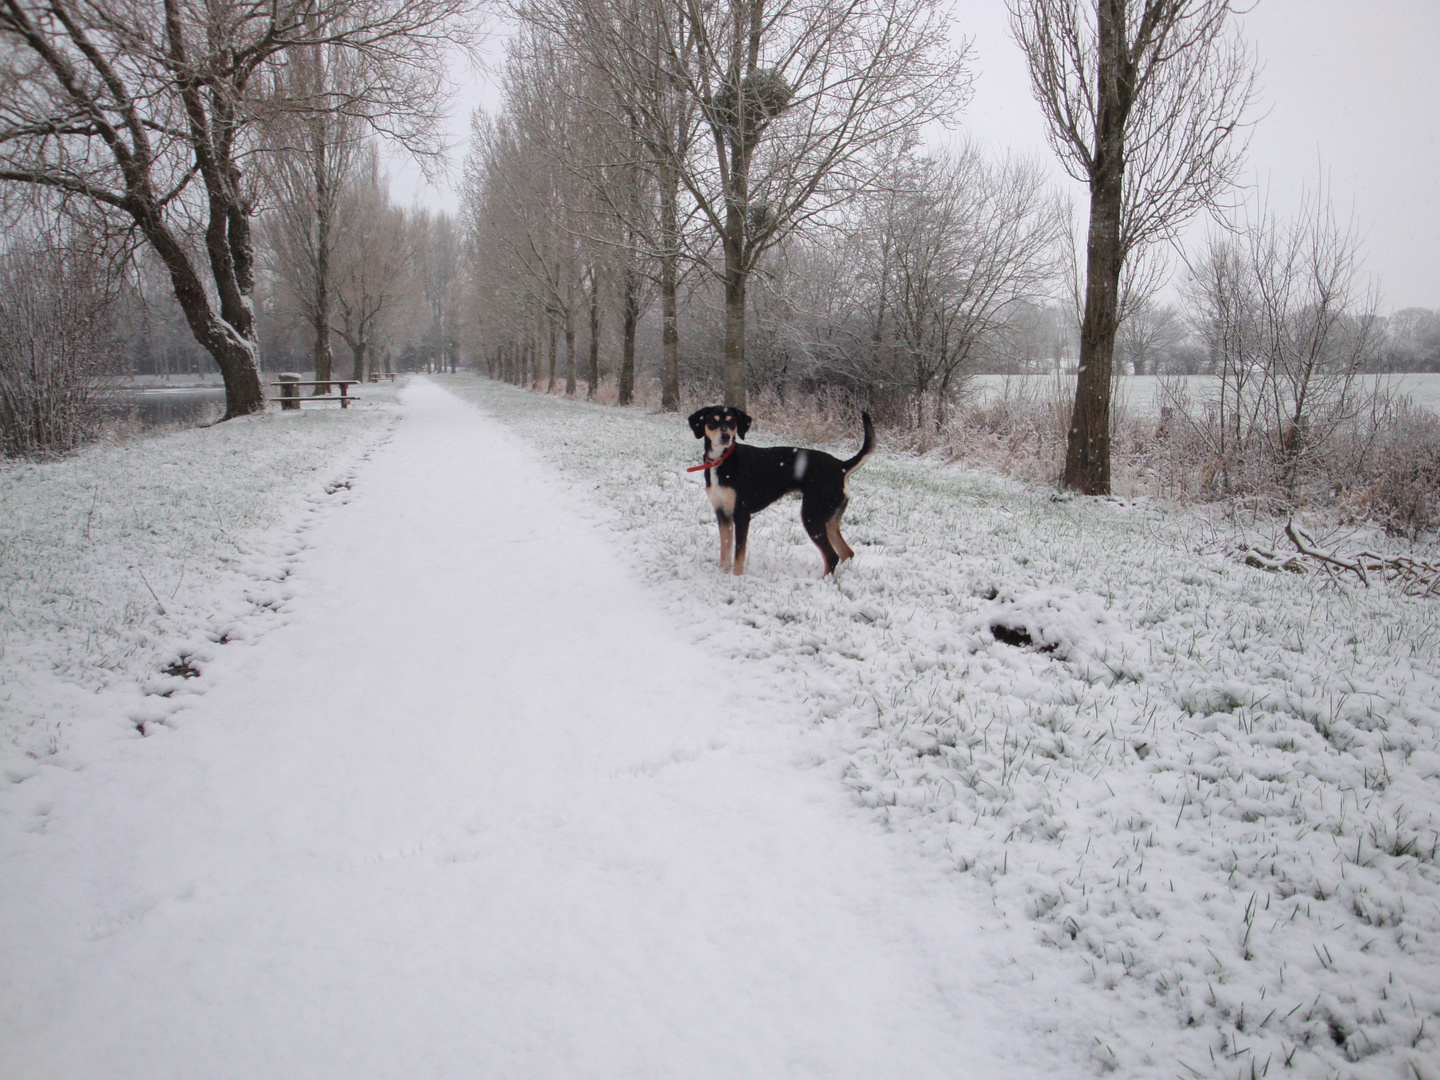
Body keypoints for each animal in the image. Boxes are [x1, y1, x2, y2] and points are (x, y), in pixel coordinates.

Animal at [688, 406, 875, 576]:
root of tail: (842, 466)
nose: (725, 436)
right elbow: (725, 552)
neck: (722, 461)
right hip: (828, 519)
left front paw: (736, 579)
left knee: (832, 557)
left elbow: (738, 555)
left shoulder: (741, 515)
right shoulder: (722, 514)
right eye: (712, 421)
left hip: (812, 516)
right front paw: (723, 575)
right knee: (846, 552)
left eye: (732, 422)